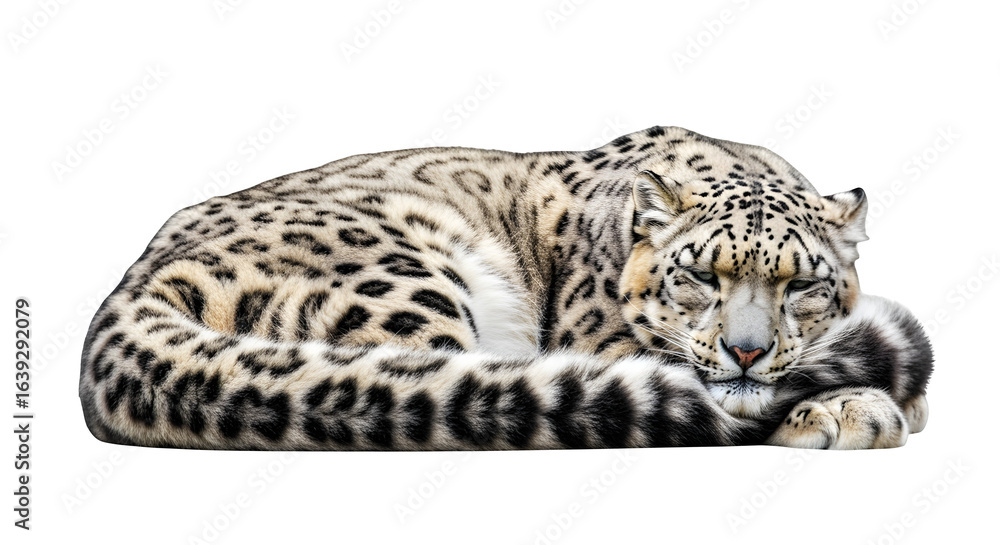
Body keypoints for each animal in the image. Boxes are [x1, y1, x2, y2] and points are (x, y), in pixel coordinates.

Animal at [79, 126, 933, 450]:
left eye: (803, 284)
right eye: (699, 273)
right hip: (407, 279)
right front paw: (851, 407)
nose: (748, 351)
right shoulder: (603, 337)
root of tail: (128, 282)